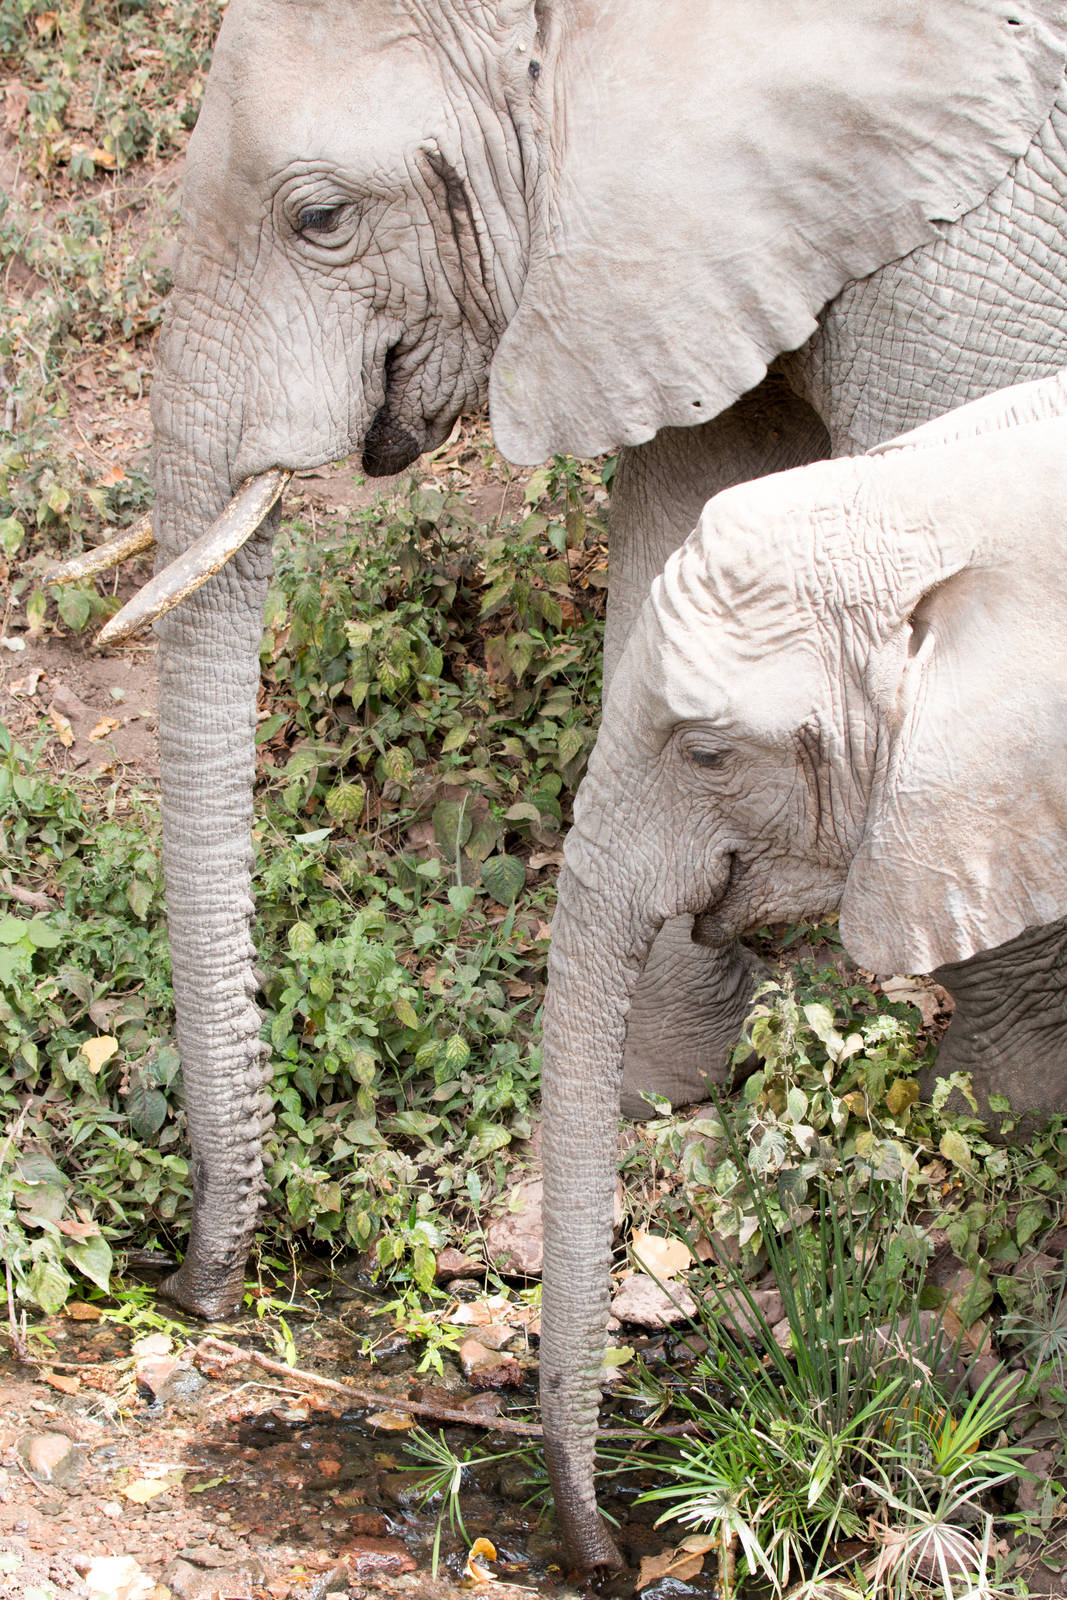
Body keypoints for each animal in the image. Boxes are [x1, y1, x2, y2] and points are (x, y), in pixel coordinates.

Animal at [94, 0, 1067, 1331]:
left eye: (321, 218)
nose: (195, 1292)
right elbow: (685, 517)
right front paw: (659, 1082)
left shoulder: (972, 242)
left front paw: (1001, 1109)